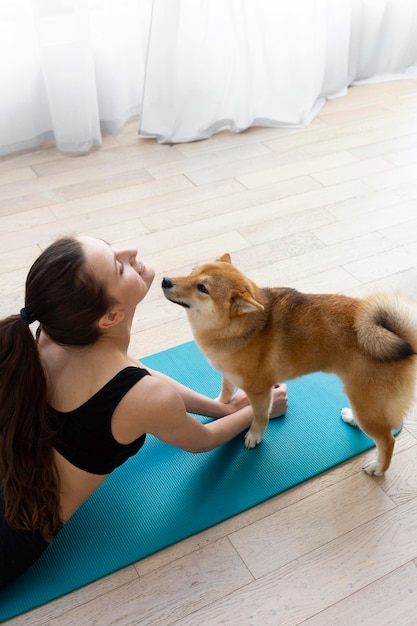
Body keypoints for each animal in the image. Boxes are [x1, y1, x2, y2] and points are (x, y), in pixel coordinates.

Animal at [161, 254, 416, 472]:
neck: (234, 329)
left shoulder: (259, 392)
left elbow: (259, 418)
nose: (165, 280)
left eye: (203, 288)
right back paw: (352, 419)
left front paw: (254, 436)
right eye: (192, 271)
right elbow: (226, 391)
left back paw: (378, 468)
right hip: (363, 402)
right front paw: (220, 404)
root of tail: (404, 339)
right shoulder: (227, 374)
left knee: (387, 440)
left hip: (366, 402)